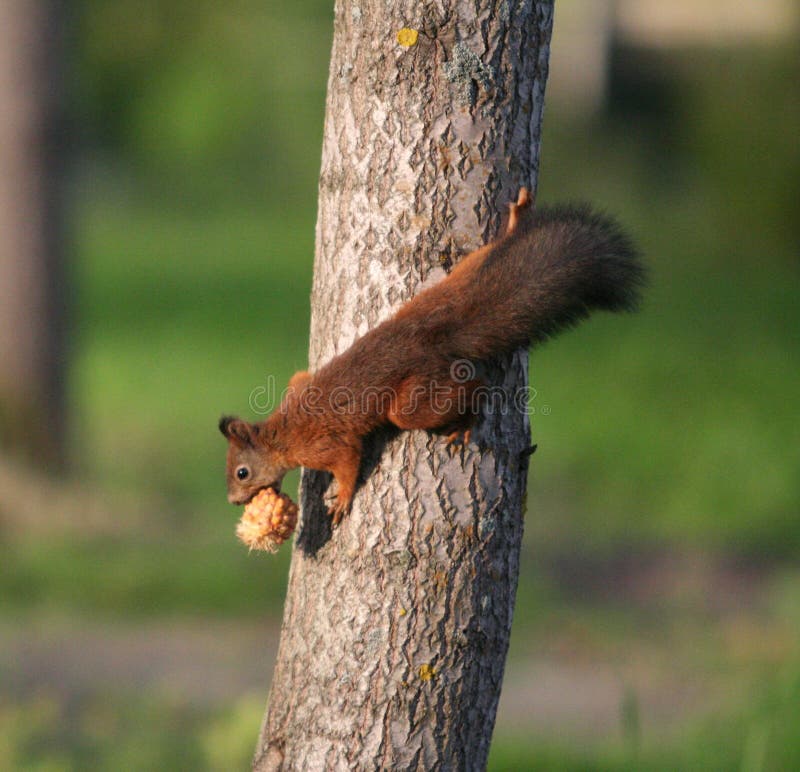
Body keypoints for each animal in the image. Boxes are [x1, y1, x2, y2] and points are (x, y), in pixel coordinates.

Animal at [219, 189, 644, 520]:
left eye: (241, 473)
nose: (234, 502)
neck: (281, 433)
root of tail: (433, 335)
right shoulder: (297, 386)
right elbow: (299, 376)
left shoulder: (327, 444)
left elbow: (348, 462)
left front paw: (341, 500)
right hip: (461, 278)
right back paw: (516, 221)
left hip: (412, 401)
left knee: (472, 387)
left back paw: (468, 420)